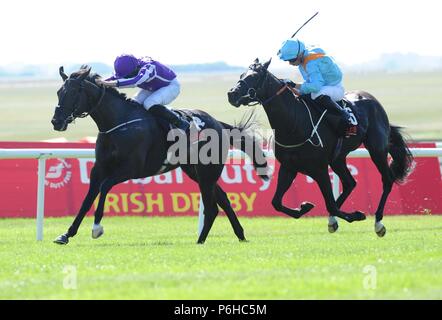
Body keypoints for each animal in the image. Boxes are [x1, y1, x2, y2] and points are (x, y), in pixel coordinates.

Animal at [50, 65, 268, 245]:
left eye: (74, 92)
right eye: (59, 92)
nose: (56, 121)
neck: (118, 123)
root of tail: (217, 123)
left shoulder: (130, 169)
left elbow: (104, 188)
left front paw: (96, 228)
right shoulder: (99, 168)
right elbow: (87, 199)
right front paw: (66, 234)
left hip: (207, 170)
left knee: (212, 206)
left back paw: (201, 240)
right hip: (196, 171)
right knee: (222, 199)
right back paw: (240, 235)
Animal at [228, 58, 414, 236]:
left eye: (254, 76)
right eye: (241, 75)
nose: (231, 94)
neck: (294, 123)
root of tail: (372, 99)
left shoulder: (319, 169)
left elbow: (330, 205)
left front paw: (357, 215)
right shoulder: (289, 167)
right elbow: (276, 202)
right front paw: (304, 207)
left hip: (376, 149)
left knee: (387, 180)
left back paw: (378, 222)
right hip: (338, 158)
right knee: (349, 183)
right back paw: (333, 220)